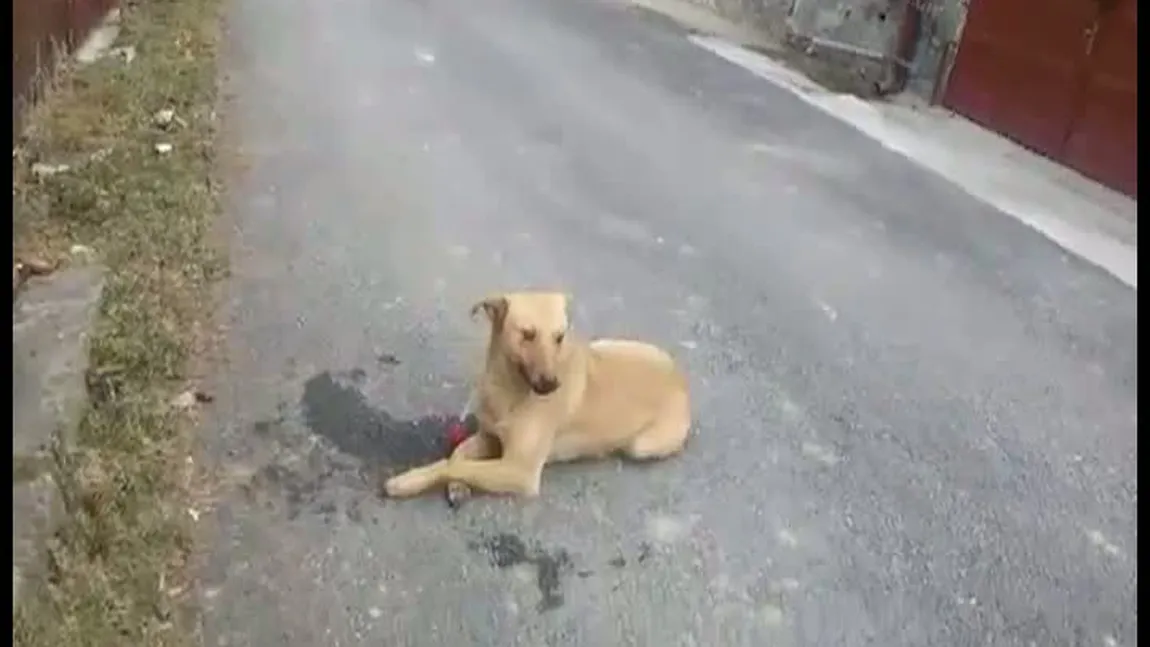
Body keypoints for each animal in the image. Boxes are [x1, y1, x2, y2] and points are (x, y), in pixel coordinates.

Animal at [384, 290, 690, 503]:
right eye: (527, 334)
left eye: (559, 337)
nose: (552, 384)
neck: (508, 389)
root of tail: (681, 379)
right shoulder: (487, 436)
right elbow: (456, 457)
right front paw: (454, 485)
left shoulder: (519, 471)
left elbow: (455, 466)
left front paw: (407, 481)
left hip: (643, 446)